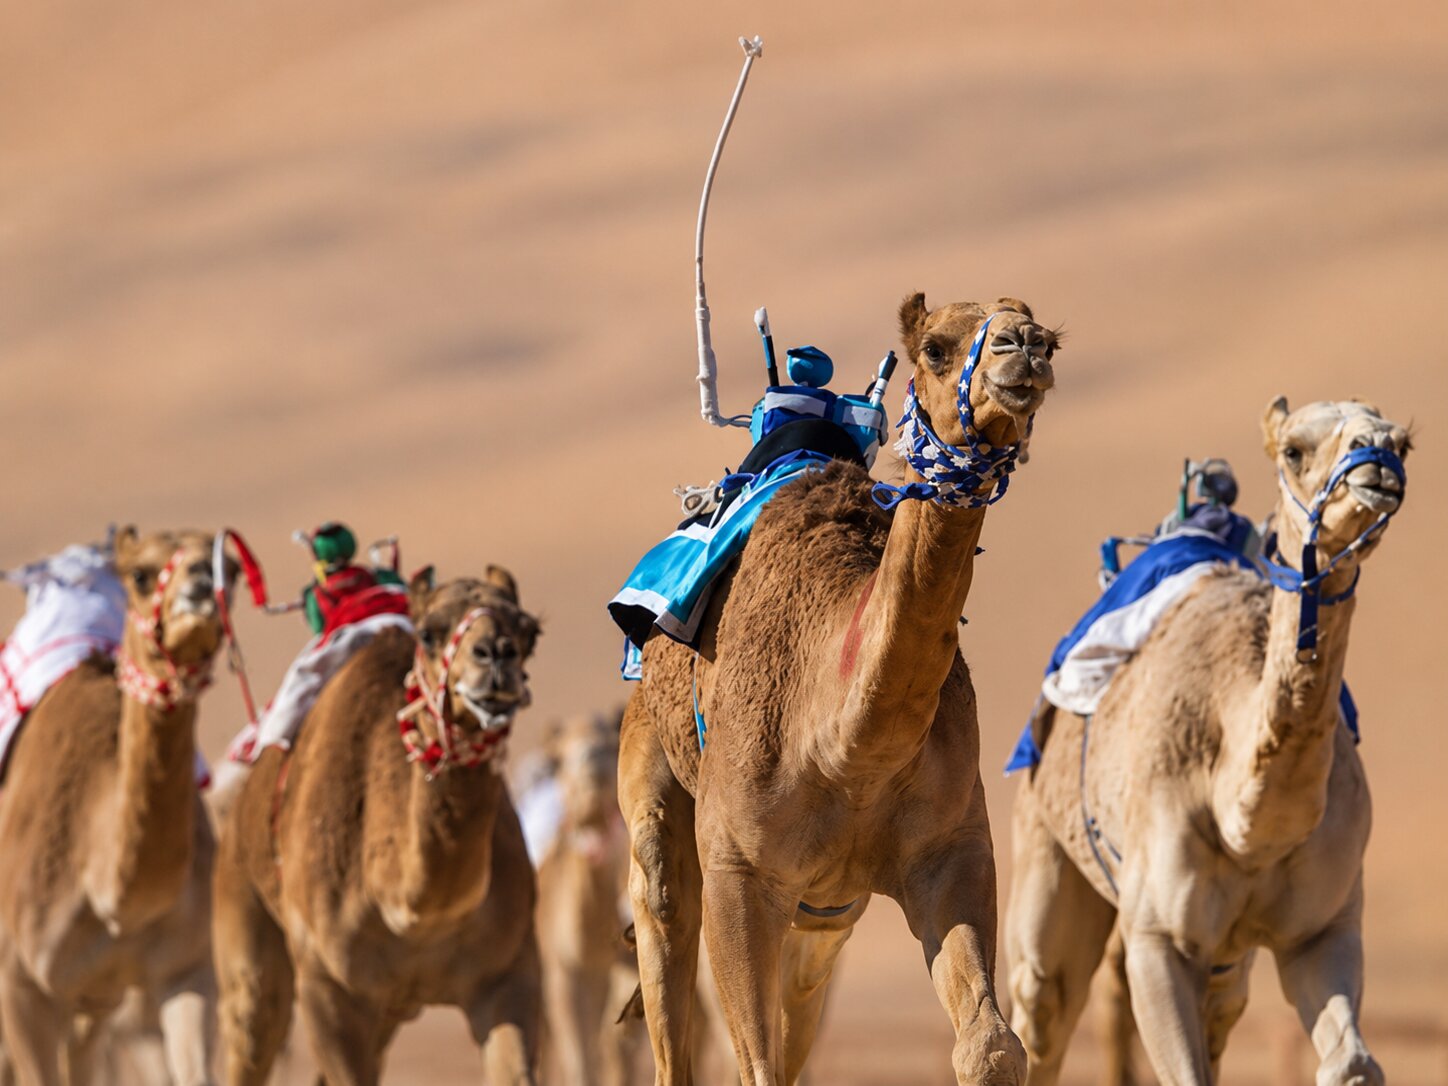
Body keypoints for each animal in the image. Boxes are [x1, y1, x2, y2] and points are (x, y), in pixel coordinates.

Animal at [0, 527, 234, 1086]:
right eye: (141, 575)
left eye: (231, 566)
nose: (203, 585)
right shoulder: (20, 985)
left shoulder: (187, 972)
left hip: (97, 1000)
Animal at [212, 566, 543, 1086]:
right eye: (428, 632)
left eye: (529, 632)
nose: (495, 655)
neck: (415, 915)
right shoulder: (327, 988)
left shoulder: (509, 972)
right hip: (241, 912)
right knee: (251, 1019)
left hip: (391, 1010)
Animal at [619, 294, 1061, 1085]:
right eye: (936, 347)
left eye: (1048, 335)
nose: (1027, 346)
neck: (846, 749)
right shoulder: (738, 870)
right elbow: (755, 1067)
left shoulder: (951, 849)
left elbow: (989, 1046)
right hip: (654, 771)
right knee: (663, 908)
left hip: (829, 910)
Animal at [1006, 397, 1410, 1086]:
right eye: (1294, 450)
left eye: (1404, 444)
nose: (1377, 460)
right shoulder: (1157, 940)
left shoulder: (1323, 929)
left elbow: (1353, 1063)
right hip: (1042, 838)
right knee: (1041, 1008)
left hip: (1227, 957)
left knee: (1221, 1010)